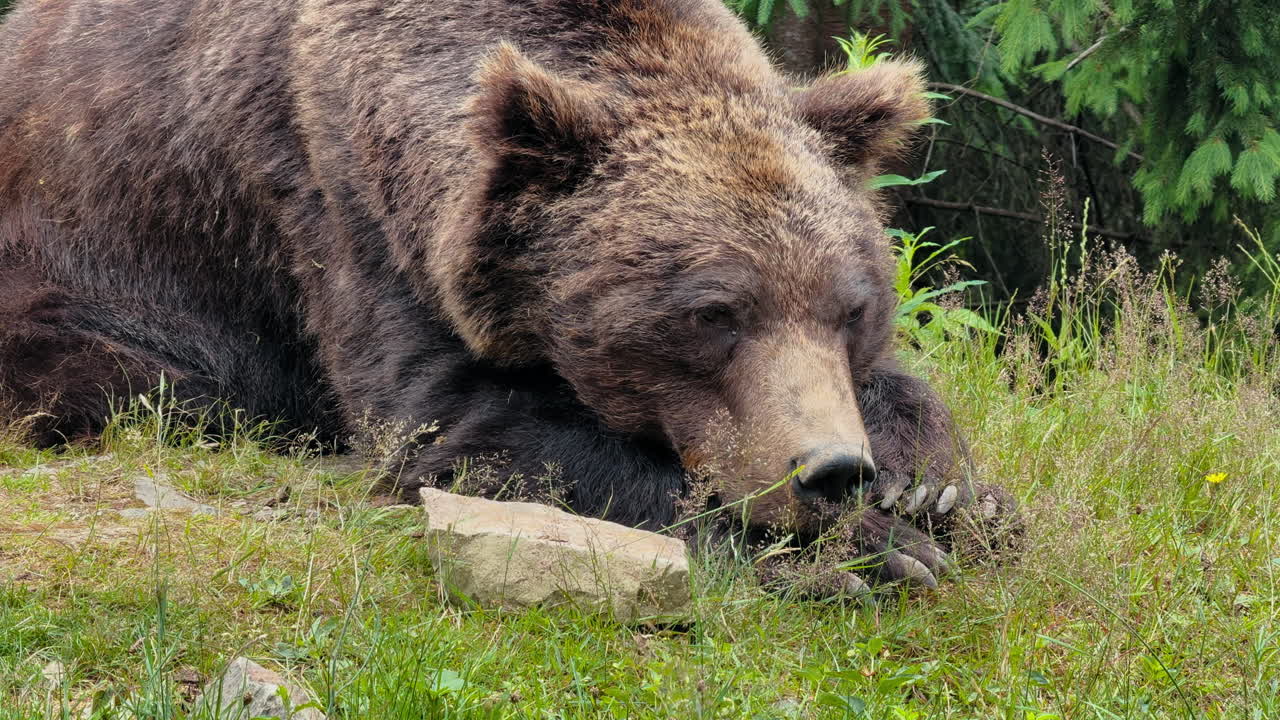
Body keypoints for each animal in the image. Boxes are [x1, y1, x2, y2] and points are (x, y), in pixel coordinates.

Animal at [0, 0, 1010, 591]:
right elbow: (463, 426)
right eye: (712, 313)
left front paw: (943, 492)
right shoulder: (340, 209)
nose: (832, 469)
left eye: (852, 308)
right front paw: (871, 551)